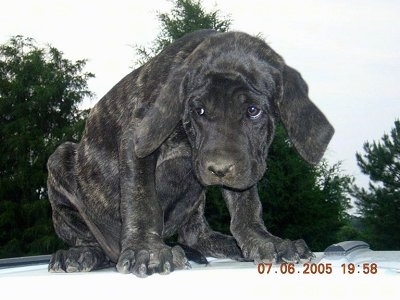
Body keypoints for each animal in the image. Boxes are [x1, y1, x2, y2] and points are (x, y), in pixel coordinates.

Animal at [47, 30, 334, 276]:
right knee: (86, 236)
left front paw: (263, 240)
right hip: (59, 161)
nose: (219, 169)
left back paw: (229, 246)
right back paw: (80, 255)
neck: (187, 136)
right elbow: (141, 199)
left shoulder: (245, 166)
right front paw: (146, 250)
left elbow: (246, 203)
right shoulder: (136, 139)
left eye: (253, 111)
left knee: (195, 234)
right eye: (199, 110)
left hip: (194, 198)